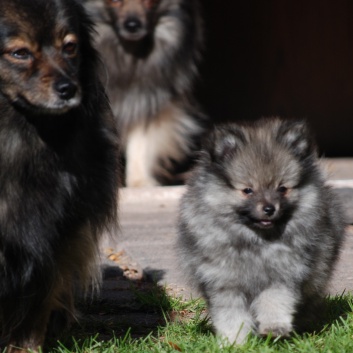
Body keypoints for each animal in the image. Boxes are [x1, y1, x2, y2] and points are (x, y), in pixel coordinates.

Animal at [0, 1, 119, 350]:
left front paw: (24, 347)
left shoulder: (53, 234)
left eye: (70, 47)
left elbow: (35, 304)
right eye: (20, 53)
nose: (69, 89)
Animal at [82, 0, 204, 187]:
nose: (133, 26)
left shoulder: (145, 100)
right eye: (113, 2)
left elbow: (141, 144)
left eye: (150, 2)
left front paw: (139, 182)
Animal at [176, 118, 344, 344]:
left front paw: (274, 328)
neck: (256, 242)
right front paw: (234, 342)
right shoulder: (224, 283)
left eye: (282, 189)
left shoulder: (282, 276)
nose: (269, 209)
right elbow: (231, 315)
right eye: (248, 190)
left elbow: (274, 301)